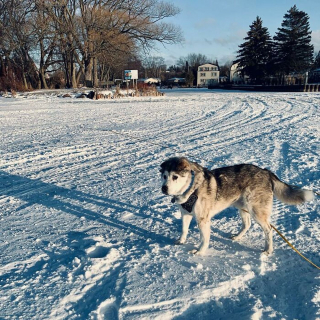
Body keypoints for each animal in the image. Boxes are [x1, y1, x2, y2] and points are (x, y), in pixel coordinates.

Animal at [161, 156, 314, 256]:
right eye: (164, 176)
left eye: (175, 177)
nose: (164, 188)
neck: (191, 187)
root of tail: (265, 171)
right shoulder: (186, 214)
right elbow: (184, 230)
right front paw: (181, 241)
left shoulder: (203, 220)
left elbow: (204, 239)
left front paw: (199, 251)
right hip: (242, 207)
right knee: (247, 224)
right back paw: (237, 237)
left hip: (256, 210)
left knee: (268, 229)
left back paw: (268, 250)